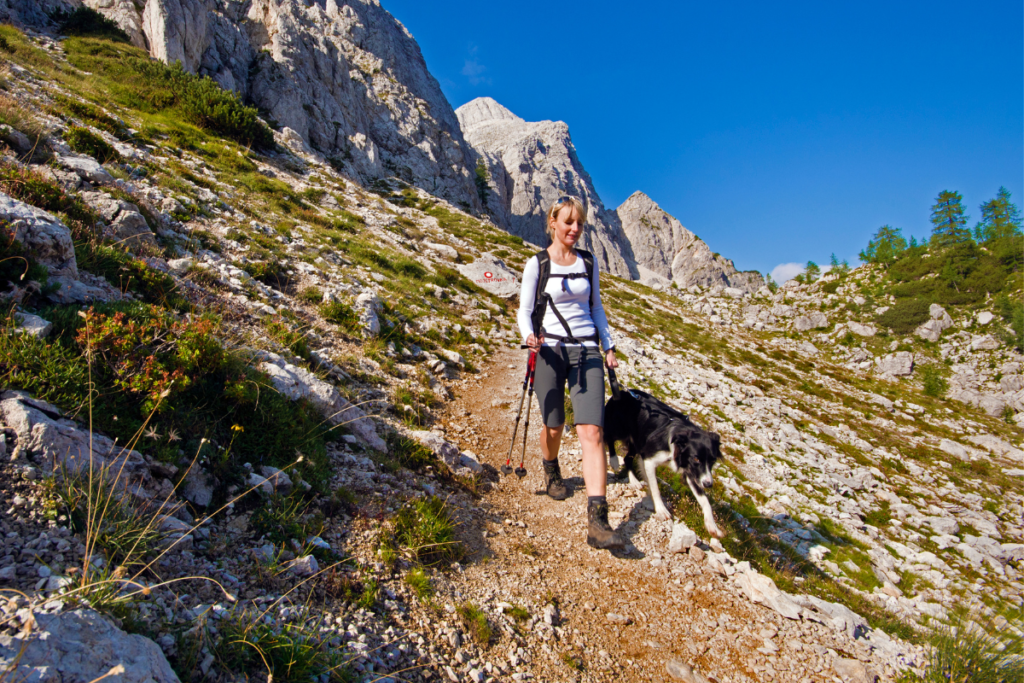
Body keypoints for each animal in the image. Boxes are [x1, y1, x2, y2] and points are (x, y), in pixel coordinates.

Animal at [602, 389, 724, 540]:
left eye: (713, 461)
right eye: (696, 459)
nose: (708, 484)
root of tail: (624, 391)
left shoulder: (693, 472)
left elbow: (705, 500)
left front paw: (712, 526)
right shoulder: (650, 459)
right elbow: (655, 488)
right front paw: (661, 509)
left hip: (638, 441)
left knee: (627, 459)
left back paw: (634, 481)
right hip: (620, 428)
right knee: (609, 437)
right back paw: (613, 460)